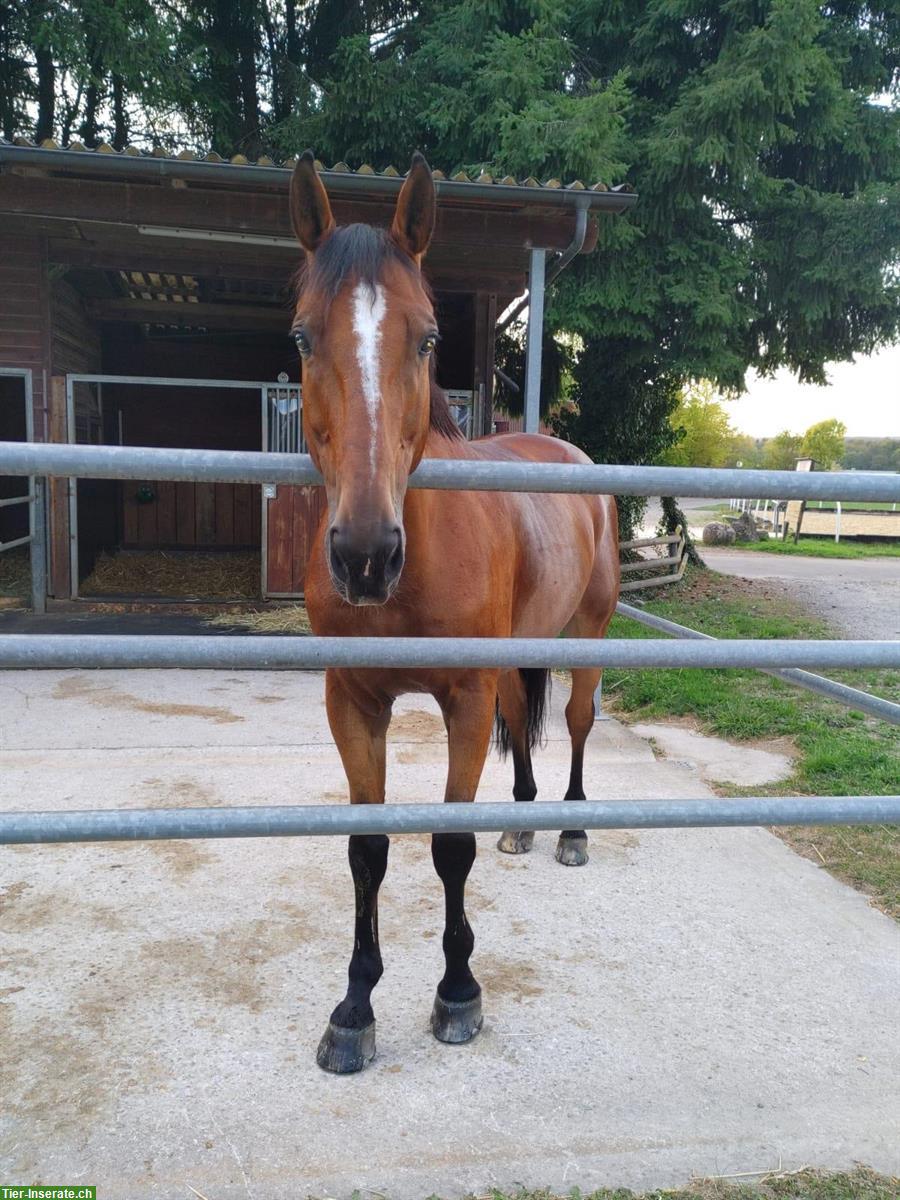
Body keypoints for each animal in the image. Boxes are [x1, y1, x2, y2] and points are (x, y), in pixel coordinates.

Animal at [290, 145, 619, 1075]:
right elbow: (368, 849)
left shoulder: (463, 700)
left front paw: (458, 992)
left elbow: (449, 842)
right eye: (302, 335)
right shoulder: (352, 701)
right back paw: (525, 819)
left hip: (588, 632)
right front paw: (355, 1008)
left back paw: (571, 828)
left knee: (576, 720)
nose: (366, 553)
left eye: (429, 336)